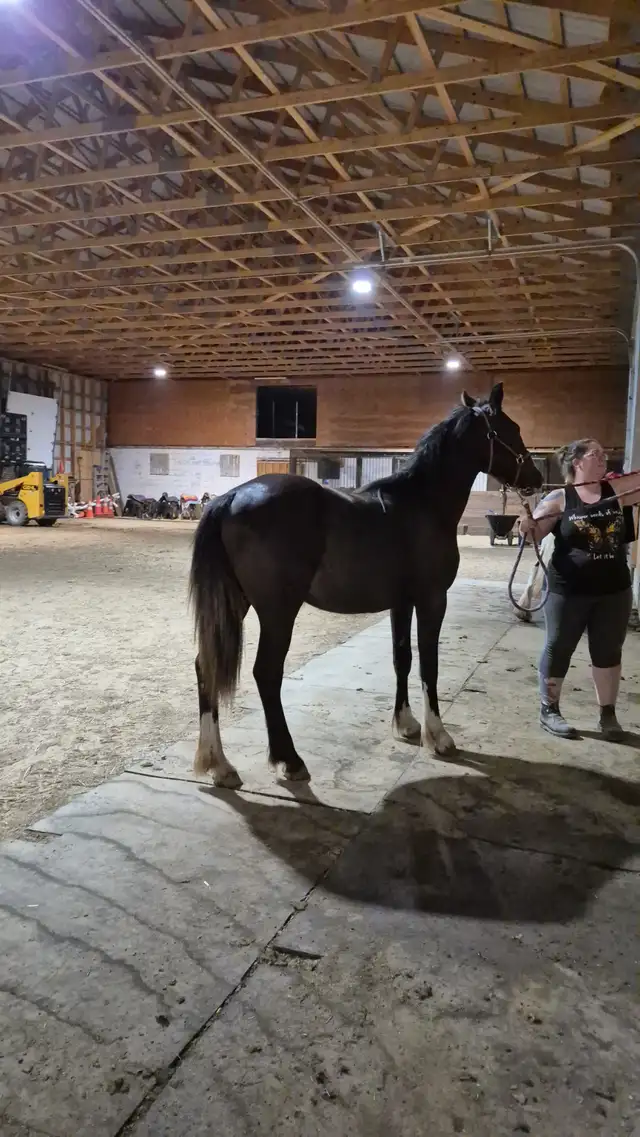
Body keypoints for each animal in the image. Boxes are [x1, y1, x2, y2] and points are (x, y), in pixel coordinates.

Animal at [189, 383, 542, 789]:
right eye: (510, 429)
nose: (535, 478)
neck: (422, 505)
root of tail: (230, 497)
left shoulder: (401, 602)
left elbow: (402, 658)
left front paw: (406, 725)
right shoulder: (432, 599)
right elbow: (429, 665)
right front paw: (438, 736)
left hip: (236, 602)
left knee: (206, 666)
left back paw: (219, 764)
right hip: (278, 611)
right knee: (266, 673)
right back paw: (288, 760)